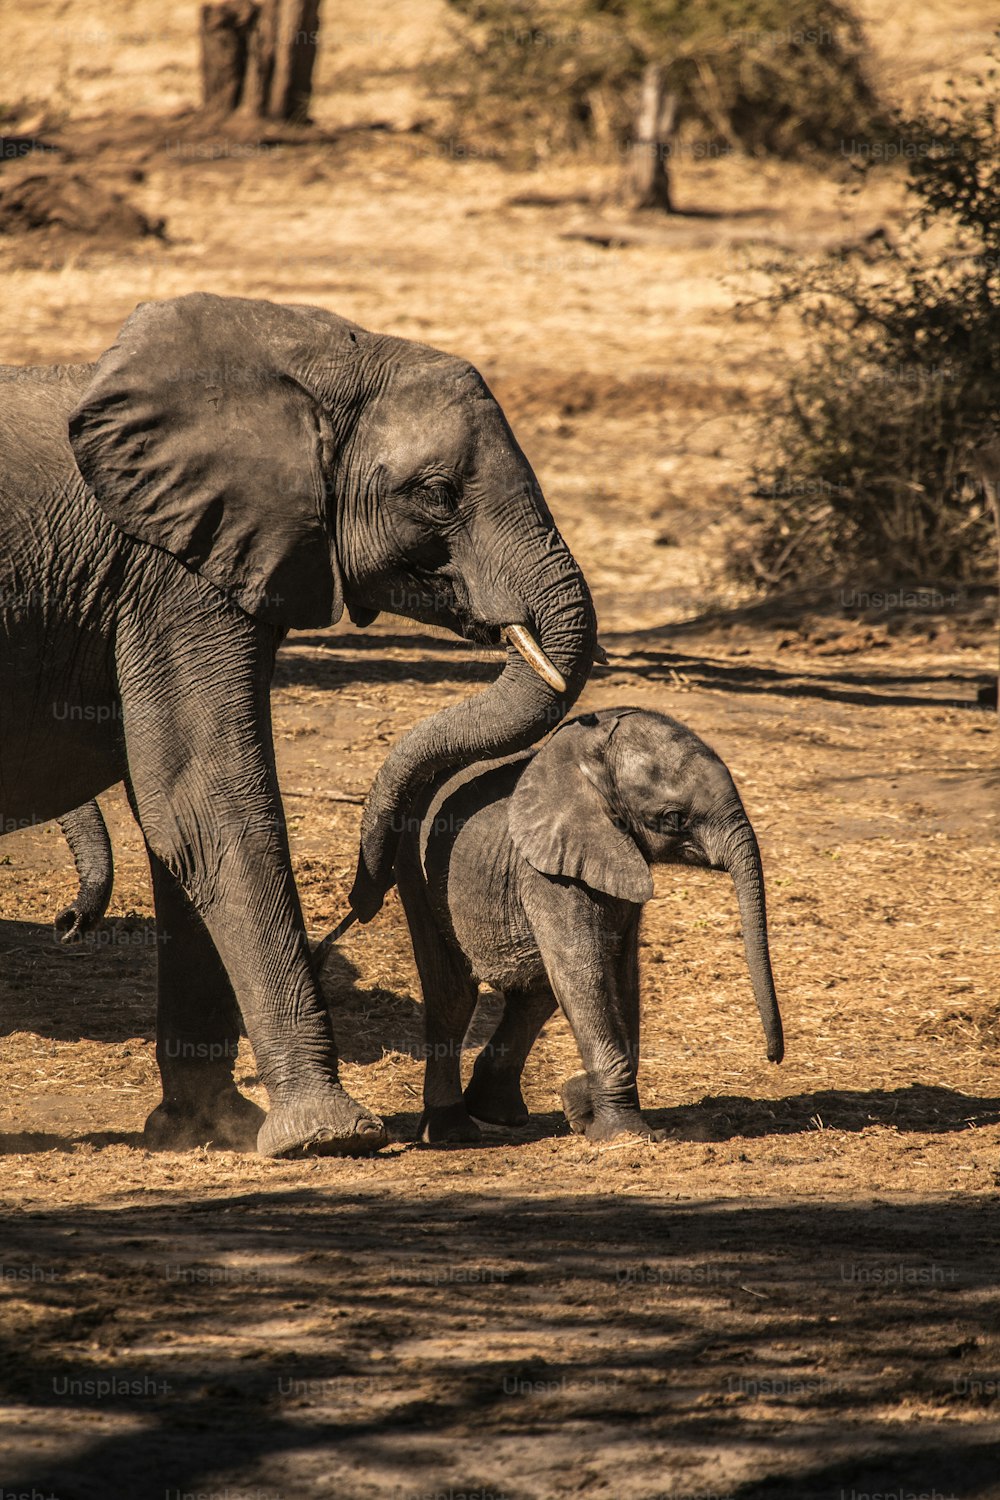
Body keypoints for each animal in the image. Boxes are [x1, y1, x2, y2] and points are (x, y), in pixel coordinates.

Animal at [0, 295, 593, 1158]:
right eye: (438, 493)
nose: (364, 892)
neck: (311, 359)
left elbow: (177, 815)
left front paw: (214, 1129)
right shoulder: (169, 577)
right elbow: (207, 806)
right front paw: (328, 1137)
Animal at [395, 708, 785, 1140]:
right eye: (673, 818)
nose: (772, 1057)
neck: (587, 763)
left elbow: (620, 972)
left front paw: (581, 1109)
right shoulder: (547, 874)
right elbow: (586, 971)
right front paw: (625, 1134)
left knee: (537, 991)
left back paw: (498, 1113)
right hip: (415, 870)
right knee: (453, 997)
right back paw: (453, 1131)